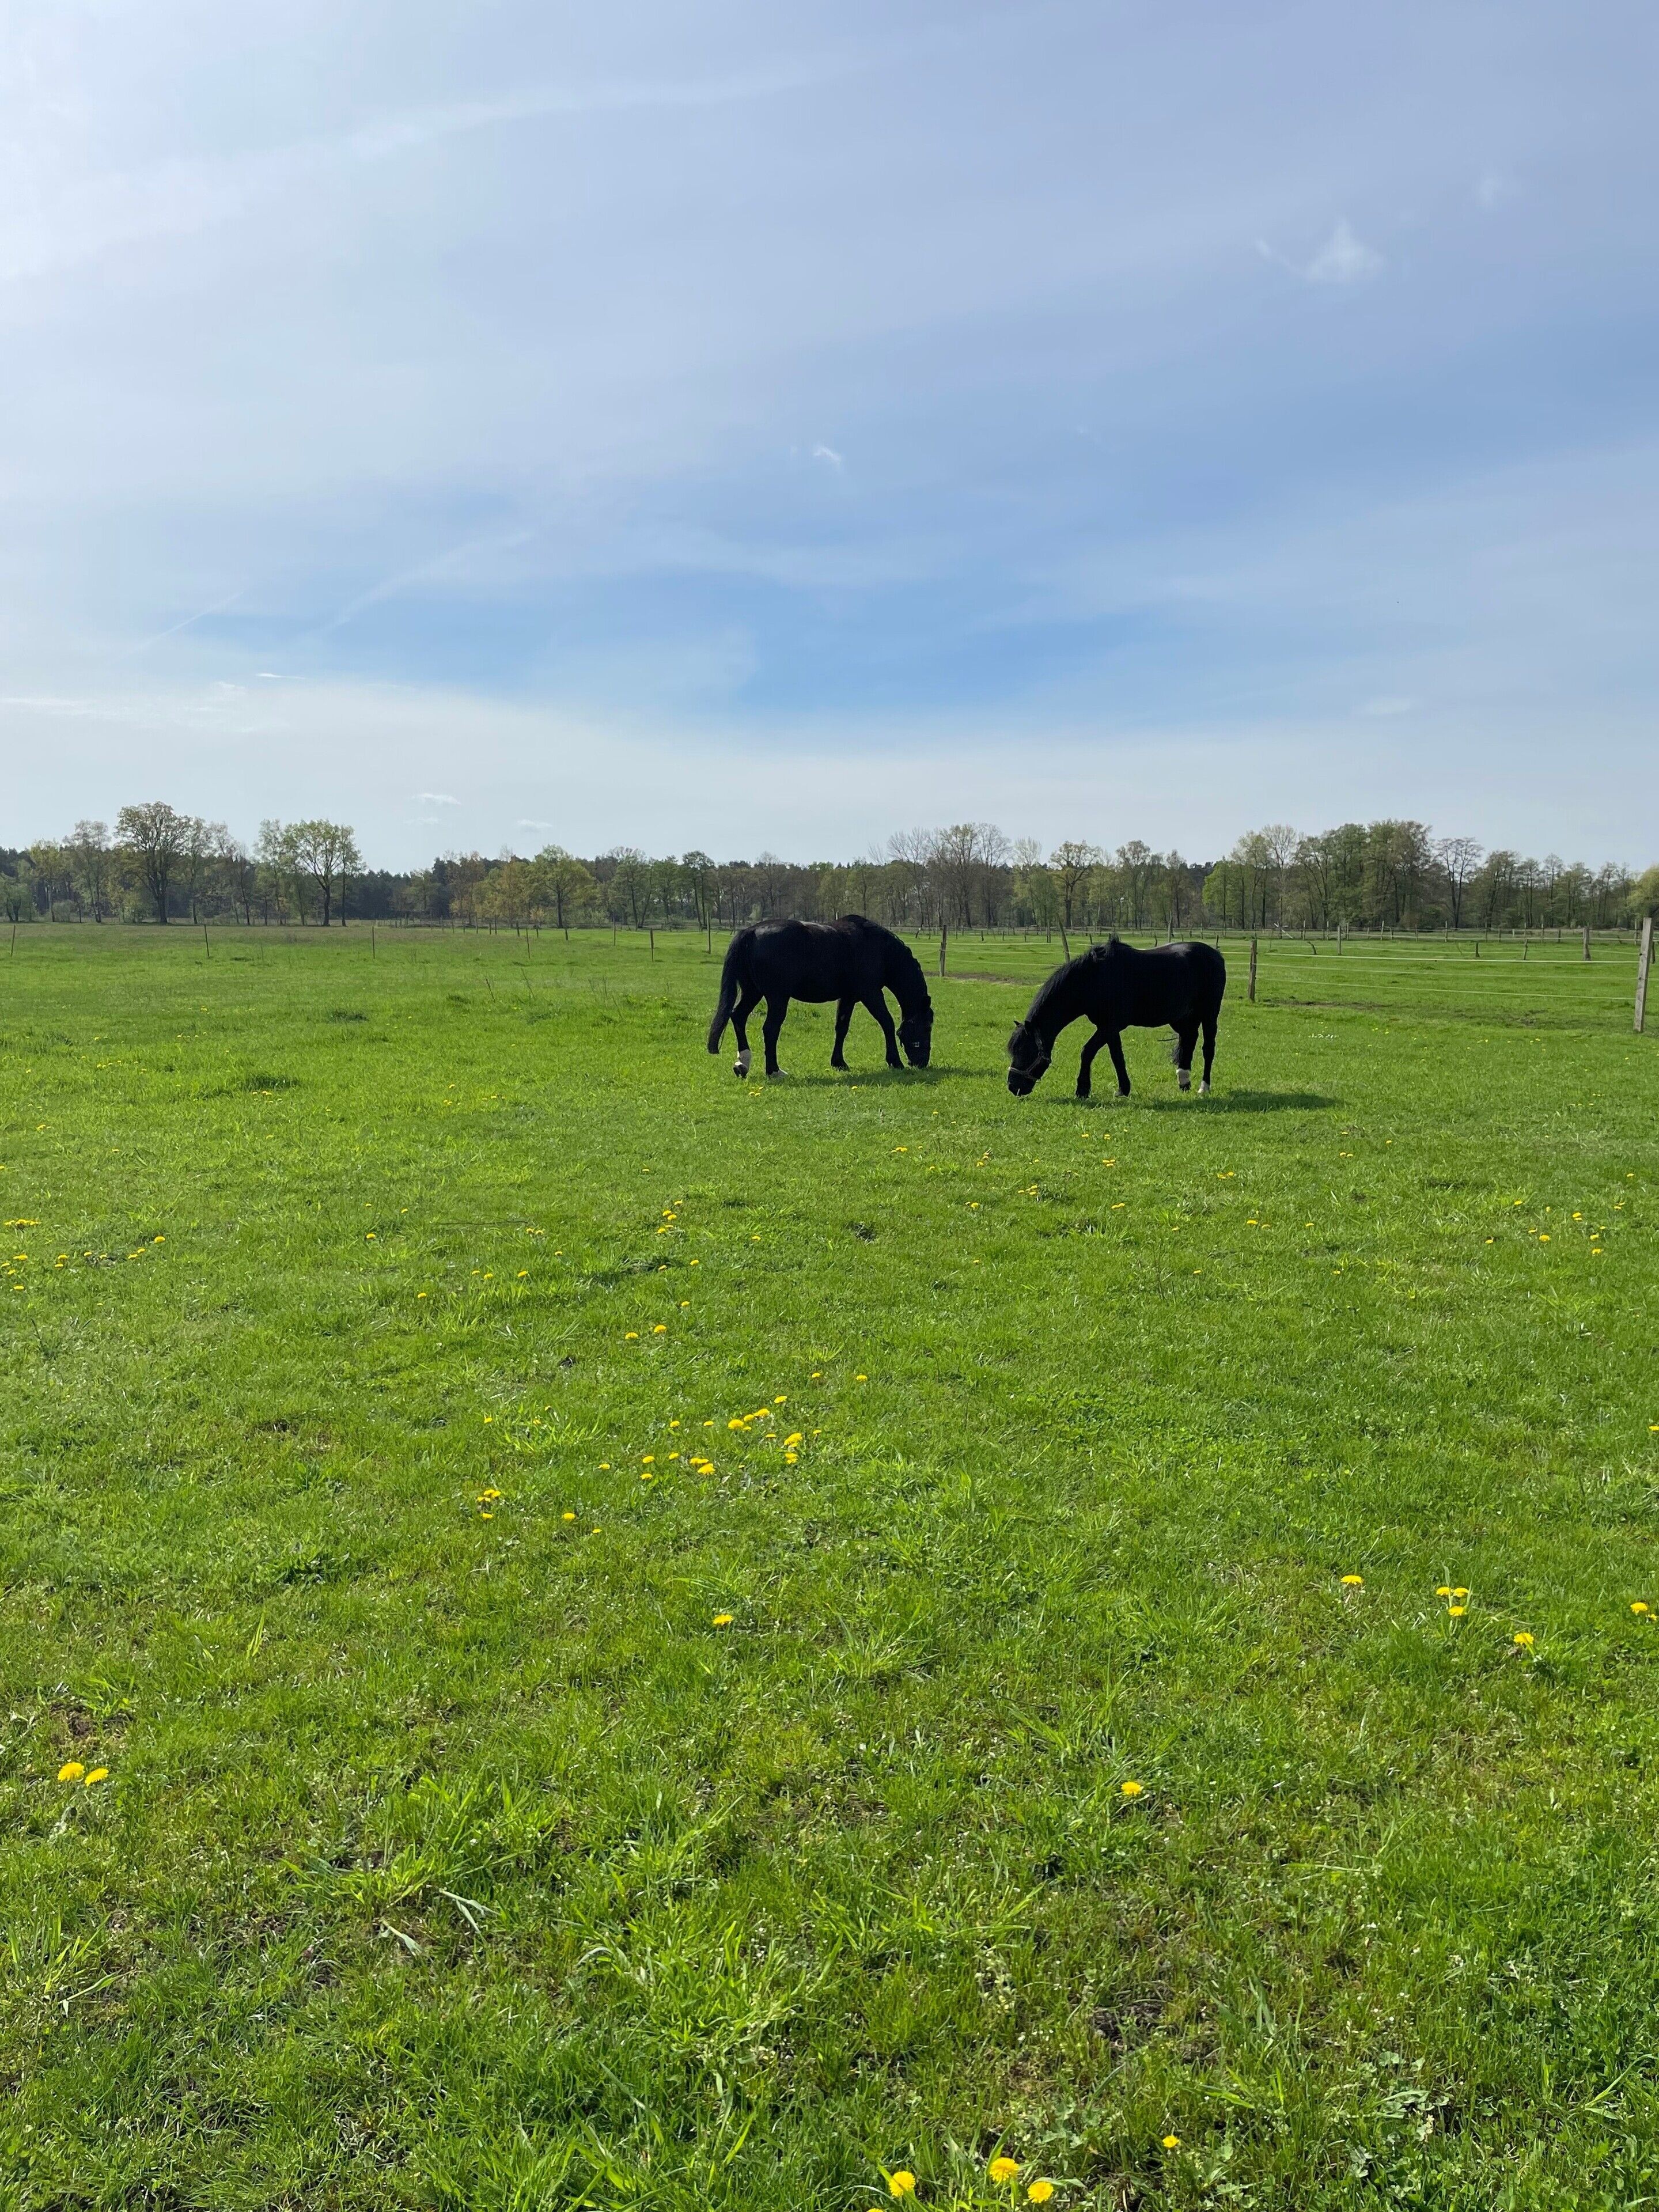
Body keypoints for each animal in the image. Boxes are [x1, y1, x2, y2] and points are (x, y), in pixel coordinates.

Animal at [707, 915, 934, 1079]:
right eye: (927, 1027)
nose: (922, 1062)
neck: (878, 949)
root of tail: (751, 932)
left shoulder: (848, 997)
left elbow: (842, 1028)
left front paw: (839, 1062)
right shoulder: (870, 994)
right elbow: (887, 1022)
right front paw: (895, 1061)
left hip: (753, 992)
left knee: (738, 1016)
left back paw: (743, 1064)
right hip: (777, 997)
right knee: (770, 1029)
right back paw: (774, 1070)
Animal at [1006, 938, 1226, 1099]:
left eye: (1026, 1052)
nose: (1012, 1087)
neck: (1094, 979)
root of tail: (1216, 955)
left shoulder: (1110, 1026)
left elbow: (1088, 1052)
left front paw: (1083, 1090)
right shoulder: (1109, 1028)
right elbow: (1117, 1056)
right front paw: (1123, 1090)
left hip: (1209, 1014)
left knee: (1208, 1049)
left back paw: (1203, 1087)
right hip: (1182, 1018)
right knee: (1189, 1041)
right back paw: (1184, 1082)